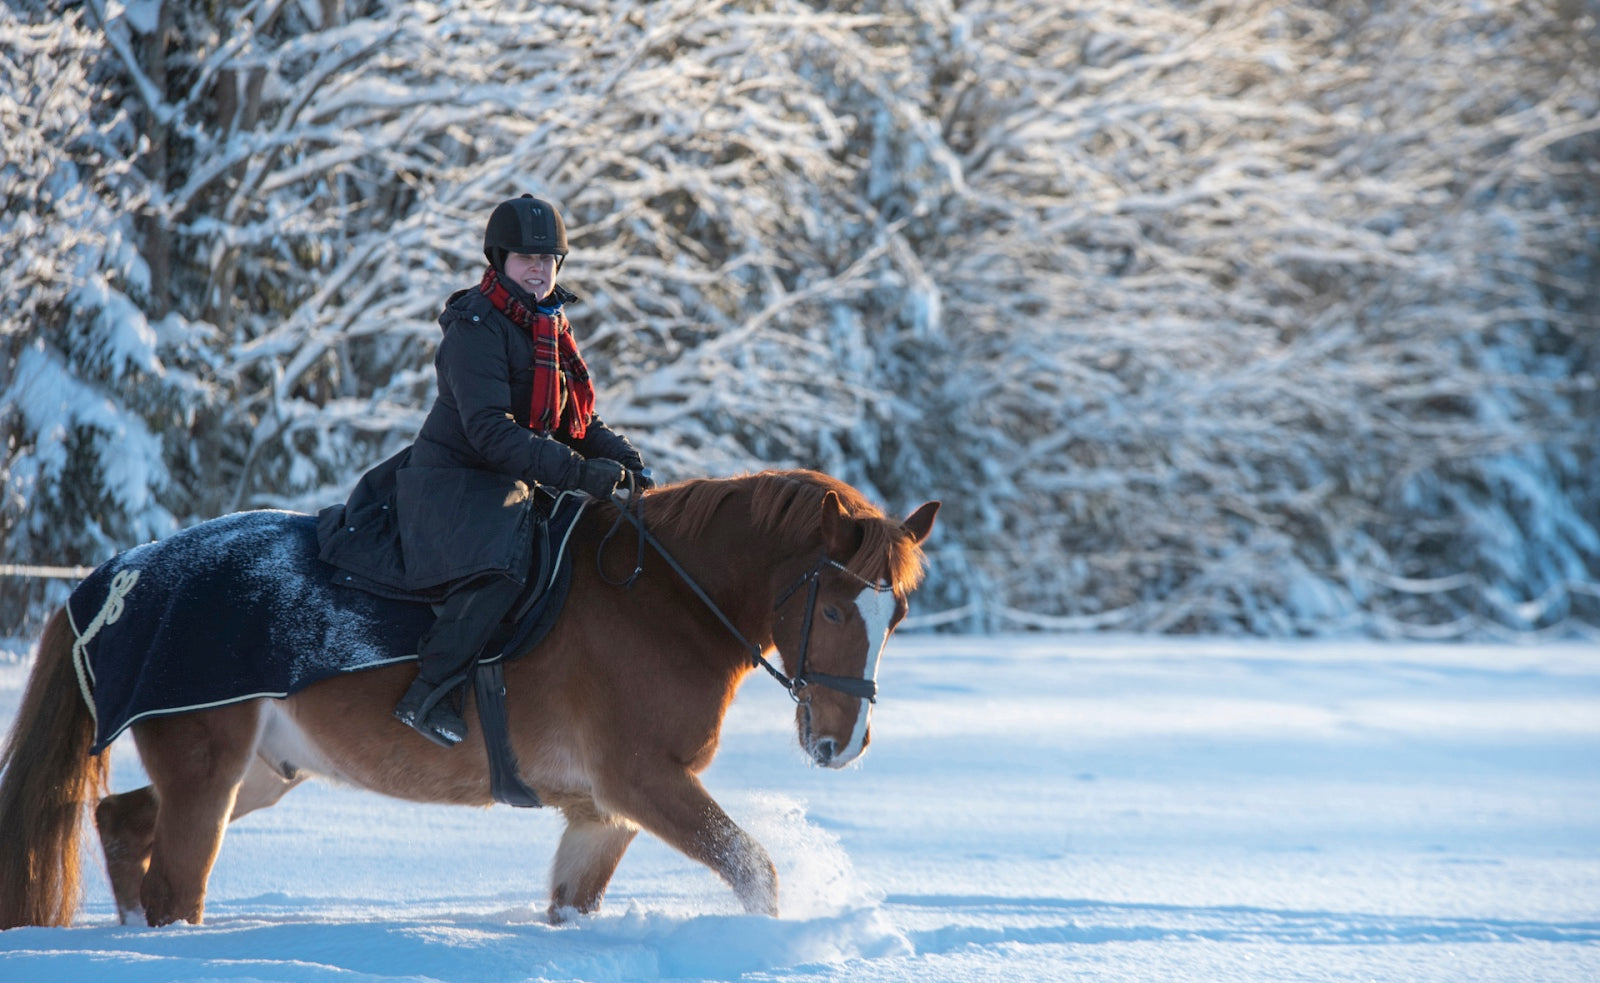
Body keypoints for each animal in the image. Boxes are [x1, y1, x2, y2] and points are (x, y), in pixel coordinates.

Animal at [0, 470, 934, 934]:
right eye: (835, 608)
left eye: (897, 614)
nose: (842, 742)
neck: (665, 600)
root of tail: (111, 580)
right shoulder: (642, 783)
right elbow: (754, 870)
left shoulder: (602, 811)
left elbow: (574, 903)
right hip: (211, 773)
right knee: (173, 887)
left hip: (260, 773)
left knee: (122, 821)